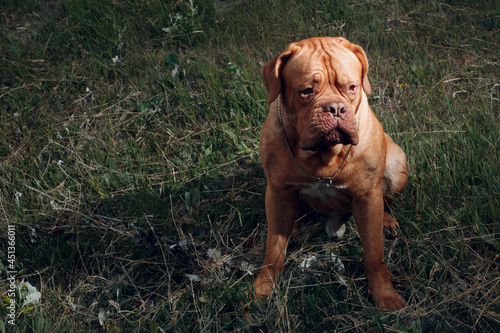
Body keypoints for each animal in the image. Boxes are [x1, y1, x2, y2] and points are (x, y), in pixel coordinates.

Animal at [256, 37, 408, 310]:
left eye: (351, 87)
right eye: (306, 91)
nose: (335, 108)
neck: (323, 157)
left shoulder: (368, 196)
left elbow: (374, 254)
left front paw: (384, 295)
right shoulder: (277, 191)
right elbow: (273, 250)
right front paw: (263, 288)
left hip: (397, 168)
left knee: (385, 199)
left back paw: (386, 221)